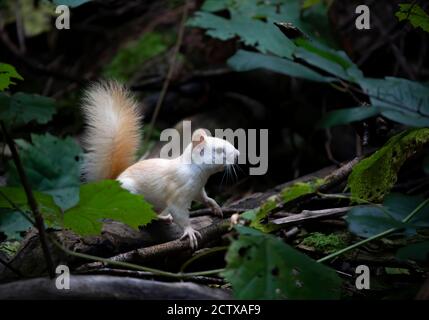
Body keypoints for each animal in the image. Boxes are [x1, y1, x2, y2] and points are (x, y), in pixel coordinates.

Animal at [81, 81, 241, 249]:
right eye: (219, 150)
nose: (238, 154)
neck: (199, 174)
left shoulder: (197, 189)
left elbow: (204, 198)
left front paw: (215, 206)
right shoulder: (177, 193)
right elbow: (180, 214)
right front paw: (190, 231)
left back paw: (162, 218)